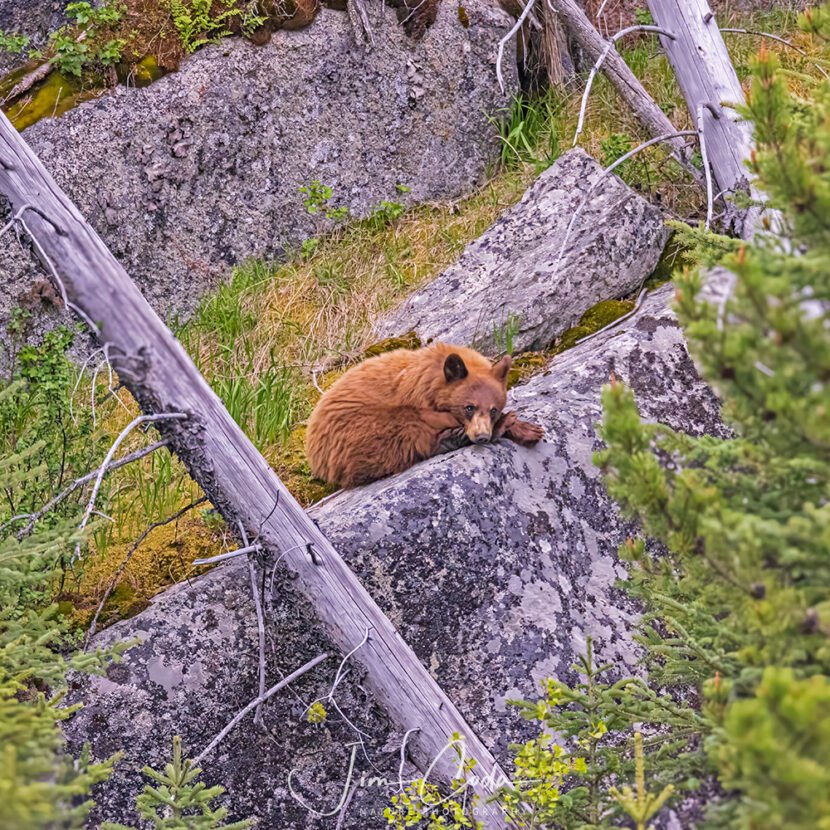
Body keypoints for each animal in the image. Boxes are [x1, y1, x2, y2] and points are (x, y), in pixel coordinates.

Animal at [305, 342, 545, 488]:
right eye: (469, 407)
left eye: (493, 409)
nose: (482, 436)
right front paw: (512, 425)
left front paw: (529, 429)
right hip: (354, 431)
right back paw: (452, 438)